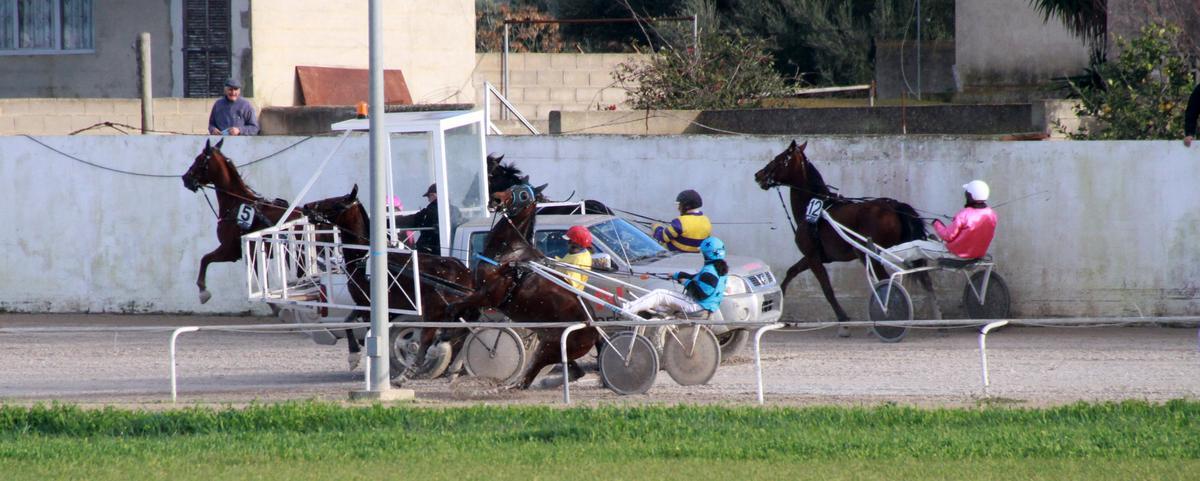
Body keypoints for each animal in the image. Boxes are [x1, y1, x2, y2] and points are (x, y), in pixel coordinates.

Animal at [180, 138, 300, 303]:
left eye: (198, 160)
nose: (185, 178)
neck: (235, 203)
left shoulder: (229, 250)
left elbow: (205, 259)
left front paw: (203, 291)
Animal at [300, 185, 477, 376]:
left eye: (336, 202)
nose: (307, 206)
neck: (366, 259)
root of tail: (465, 273)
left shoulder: (368, 305)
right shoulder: (363, 302)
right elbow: (347, 322)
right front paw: (354, 355)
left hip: (435, 311)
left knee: (437, 338)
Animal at [446, 182, 600, 388]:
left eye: (524, 195)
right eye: (512, 186)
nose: (495, 198)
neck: (509, 255)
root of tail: (595, 330)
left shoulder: (489, 295)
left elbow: (454, 308)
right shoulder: (480, 294)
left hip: (551, 348)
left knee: (531, 375)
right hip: (555, 344)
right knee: (575, 371)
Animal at [748, 140, 936, 331]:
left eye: (778, 159)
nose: (758, 175)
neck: (814, 208)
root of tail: (893, 207)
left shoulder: (813, 257)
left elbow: (827, 289)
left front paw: (843, 319)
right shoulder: (815, 256)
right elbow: (791, 272)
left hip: (870, 255)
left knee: (886, 282)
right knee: (925, 280)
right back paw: (934, 314)